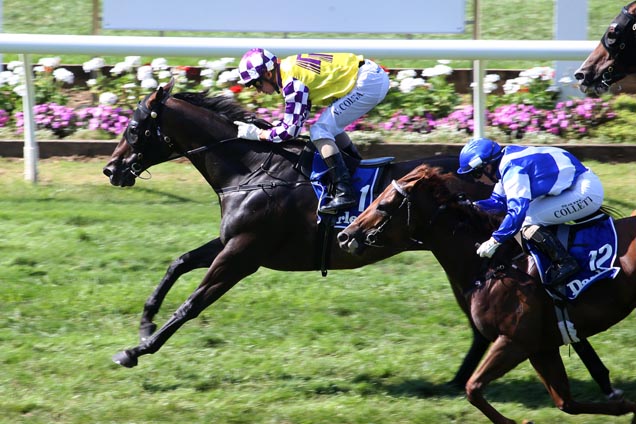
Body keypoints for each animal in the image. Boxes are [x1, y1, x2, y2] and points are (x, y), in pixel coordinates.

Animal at [104, 78, 616, 398]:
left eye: (133, 127)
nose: (111, 169)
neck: (252, 169)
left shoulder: (243, 253)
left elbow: (193, 303)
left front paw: (136, 350)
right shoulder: (231, 242)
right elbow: (177, 262)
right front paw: (145, 322)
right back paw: (459, 381)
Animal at [340, 164, 636, 422]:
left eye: (382, 205)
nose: (345, 235)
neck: (493, 266)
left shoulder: (513, 341)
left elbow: (472, 388)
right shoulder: (542, 346)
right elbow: (566, 402)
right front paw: (623, 405)